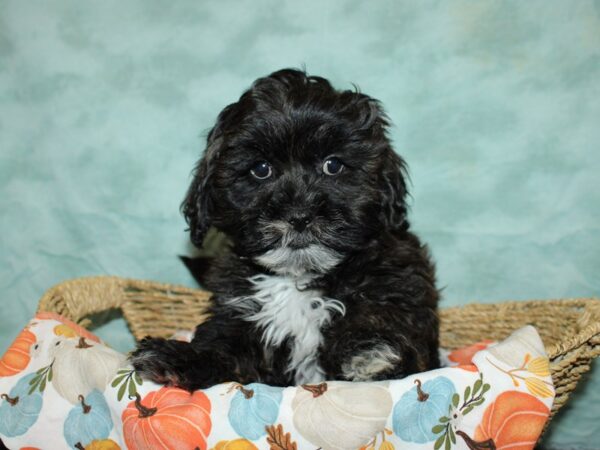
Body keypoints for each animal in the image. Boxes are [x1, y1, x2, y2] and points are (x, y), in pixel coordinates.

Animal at [130, 67, 440, 390]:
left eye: (333, 165)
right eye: (261, 169)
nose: (300, 215)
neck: (298, 277)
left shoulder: (398, 289)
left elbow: (380, 321)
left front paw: (372, 355)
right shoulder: (239, 314)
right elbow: (220, 350)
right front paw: (177, 357)